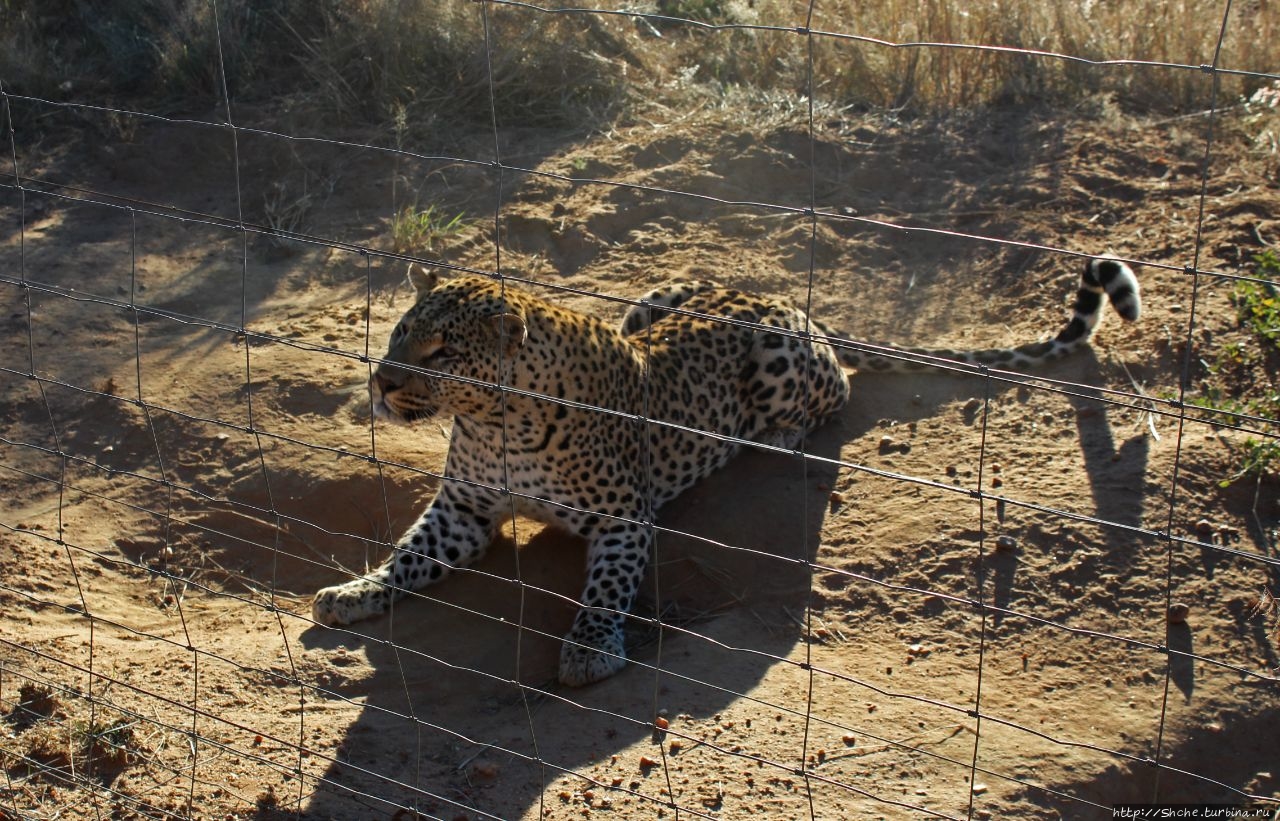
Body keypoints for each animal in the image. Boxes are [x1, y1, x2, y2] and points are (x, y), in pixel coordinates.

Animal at [309, 256, 1141, 686]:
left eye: (442, 350)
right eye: (399, 331)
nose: (381, 382)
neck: (493, 420)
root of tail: (792, 305)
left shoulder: (622, 518)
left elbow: (606, 586)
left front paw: (589, 646)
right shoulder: (465, 507)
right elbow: (408, 554)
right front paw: (355, 592)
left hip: (776, 359)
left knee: (835, 394)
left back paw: (780, 435)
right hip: (651, 298)